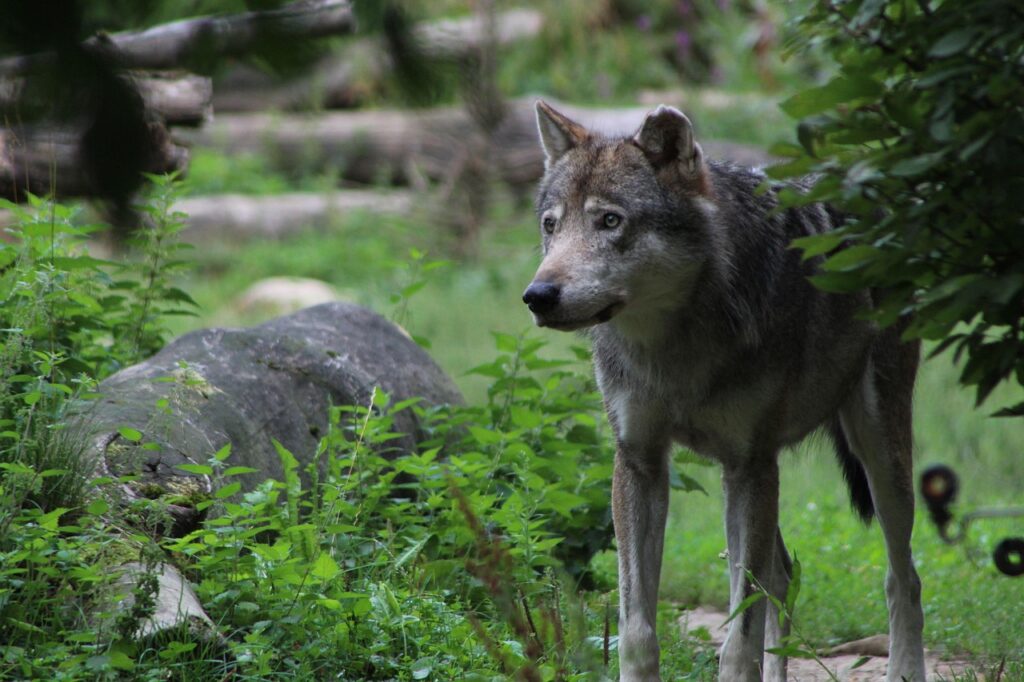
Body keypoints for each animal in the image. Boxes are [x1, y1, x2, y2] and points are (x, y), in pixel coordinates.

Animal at [522, 101, 926, 682]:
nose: (538, 295)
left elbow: (740, 636)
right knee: (783, 575)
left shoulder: (748, 465)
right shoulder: (640, 463)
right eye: (551, 226)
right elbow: (636, 630)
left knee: (903, 579)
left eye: (610, 221)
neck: (676, 349)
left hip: (878, 457)